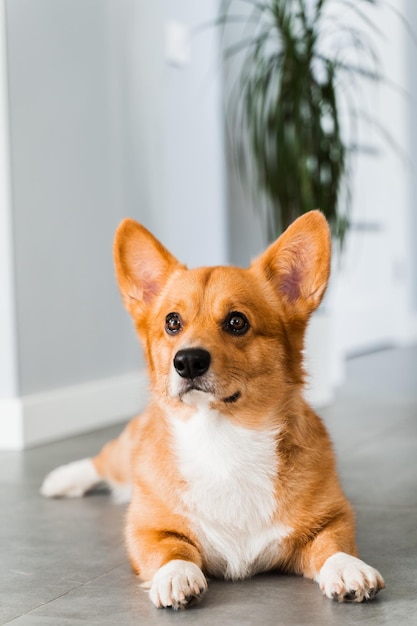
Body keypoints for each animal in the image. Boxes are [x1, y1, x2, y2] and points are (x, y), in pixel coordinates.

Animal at [41, 210, 384, 604]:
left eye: (237, 321)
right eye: (172, 322)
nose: (187, 361)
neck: (222, 438)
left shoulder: (333, 516)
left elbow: (333, 543)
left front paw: (348, 568)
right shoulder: (148, 528)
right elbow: (171, 549)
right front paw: (175, 575)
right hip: (123, 458)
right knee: (103, 461)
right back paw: (61, 479)